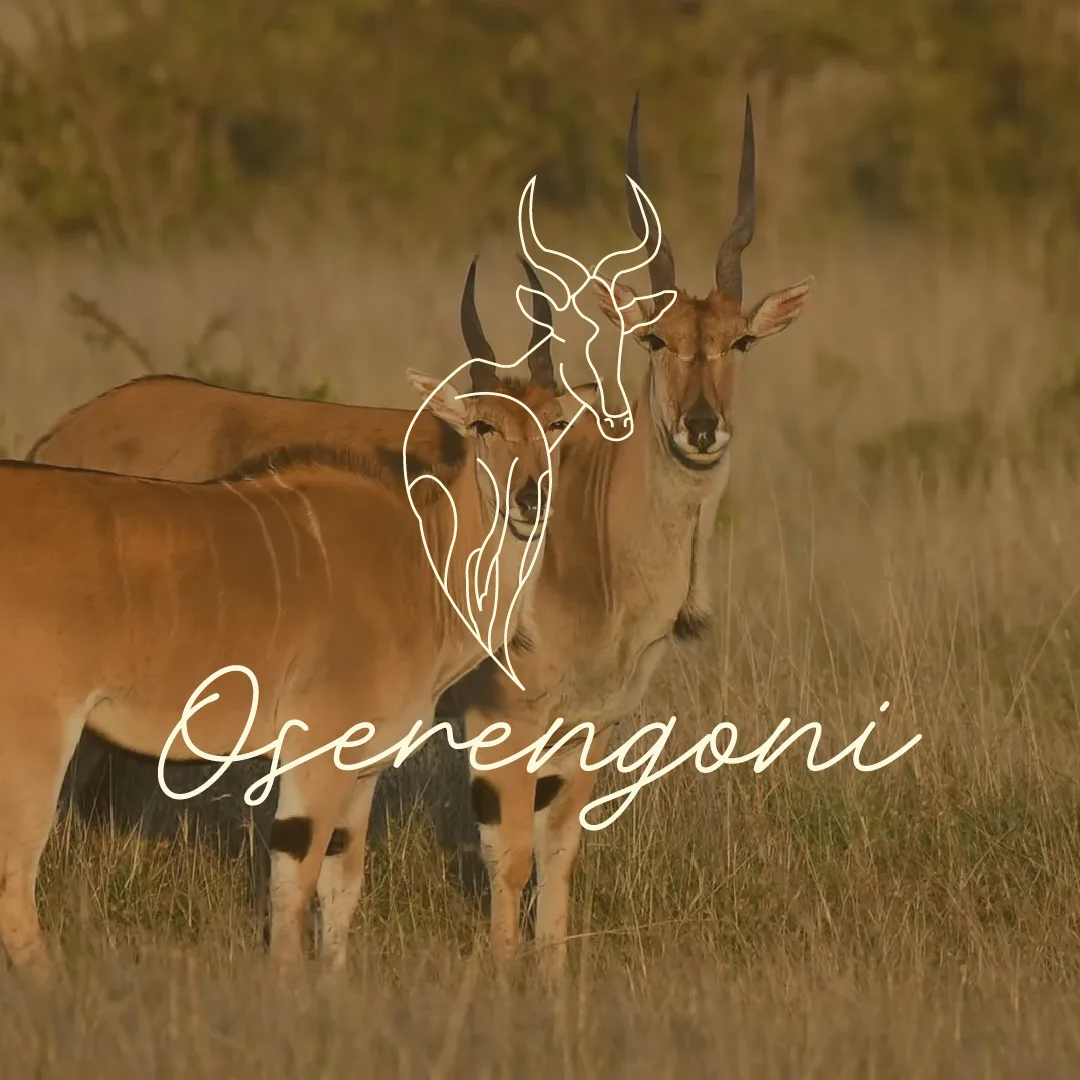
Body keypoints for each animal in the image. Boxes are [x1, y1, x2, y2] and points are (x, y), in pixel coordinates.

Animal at [0, 261, 581, 979]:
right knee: (16, 877)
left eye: (556, 423)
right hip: (37, 735)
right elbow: (293, 880)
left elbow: (341, 884)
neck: (423, 557)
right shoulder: (317, 751)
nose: (531, 497)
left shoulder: (362, 766)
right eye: (483, 427)